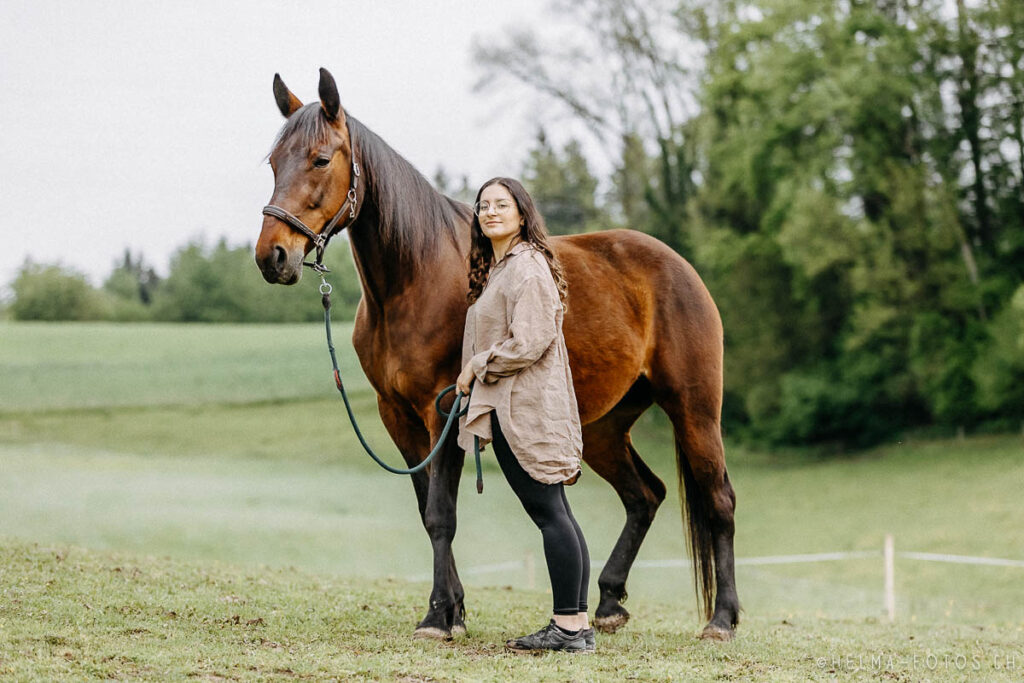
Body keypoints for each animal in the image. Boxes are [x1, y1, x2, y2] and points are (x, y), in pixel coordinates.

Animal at [253, 68, 737, 643]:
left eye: (322, 159)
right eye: (273, 162)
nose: (272, 256)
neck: (415, 277)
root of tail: (680, 267)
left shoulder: (444, 407)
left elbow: (441, 514)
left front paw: (438, 616)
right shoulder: (397, 416)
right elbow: (427, 511)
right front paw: (454, 610)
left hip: (694, 410)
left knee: (719, 499)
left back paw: (722, 619)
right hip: (602, 429)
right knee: (645, 495)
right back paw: (608, 602)